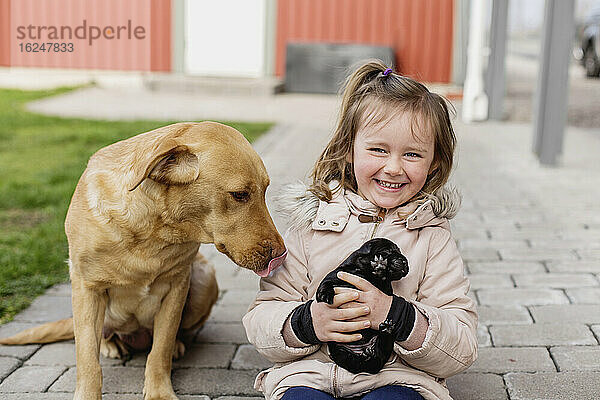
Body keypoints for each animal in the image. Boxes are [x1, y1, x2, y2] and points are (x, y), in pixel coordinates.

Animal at [0, 122, 286, 400]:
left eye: (264, 190)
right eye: (239, 194)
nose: (282, 254)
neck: (154, 230)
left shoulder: (177, 285)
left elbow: (160, 348)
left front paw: (160, 391)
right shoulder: (86, 287)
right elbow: (87, 358)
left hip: (205, 280)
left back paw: (177, 345)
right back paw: (111, 344)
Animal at [316, 238, 410, 376]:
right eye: (387, 251)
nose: (405, 262)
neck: (364, 272)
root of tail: (361, 351)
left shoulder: (385, 289)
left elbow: (383, 282)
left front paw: (379, 268)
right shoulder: (337, 274)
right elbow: (326, 283)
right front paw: (324, 295)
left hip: (383, 347)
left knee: (380, 353)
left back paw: (385, 332)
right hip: (339, 350)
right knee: (353, 361)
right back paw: (366, 356)